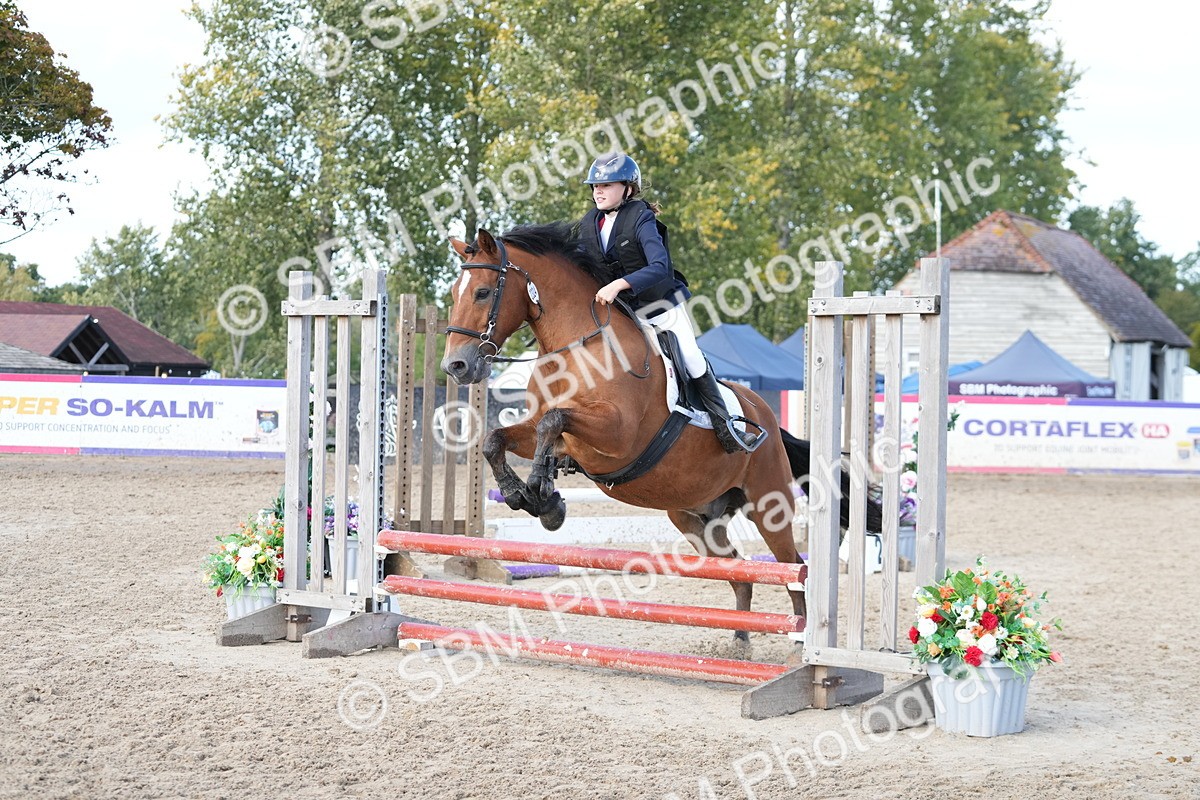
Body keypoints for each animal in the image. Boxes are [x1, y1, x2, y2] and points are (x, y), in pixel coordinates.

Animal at [441, 223, 881, 639]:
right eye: (452, 293)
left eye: (482, 293)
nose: (456, 367)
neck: (577, 346)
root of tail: (768, 418)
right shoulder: (543, 431)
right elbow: (498, 439)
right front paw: (531, 497)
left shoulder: (617, 435)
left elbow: (556, 422)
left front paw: (540, 489)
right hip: (694, 517)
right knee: (738, 570)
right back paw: (738, 639)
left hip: (768, 506)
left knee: (793, 571)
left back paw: (797, 642)